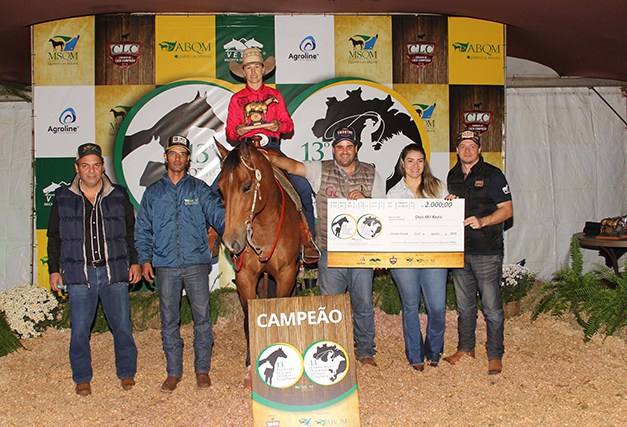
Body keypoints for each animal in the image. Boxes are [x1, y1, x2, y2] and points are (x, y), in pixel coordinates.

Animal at [216, 141, 301, 386]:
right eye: (220, 189)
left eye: (246, 186)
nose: (231, 241)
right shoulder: (246, 277)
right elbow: (249, 320)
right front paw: (249, 367)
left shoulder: (286, 274)